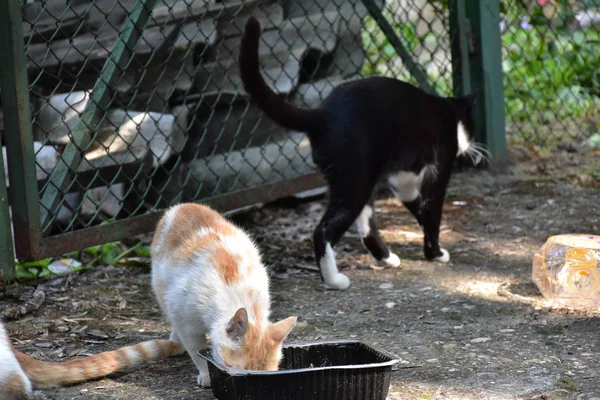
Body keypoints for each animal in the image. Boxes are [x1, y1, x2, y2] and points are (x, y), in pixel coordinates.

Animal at [151, 203, 298, 388]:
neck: (238, 293)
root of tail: (184, 205)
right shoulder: (185, 322)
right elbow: (196, 350)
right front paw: (206, 373)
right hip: (161, 289)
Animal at [238, 17, 482, 290]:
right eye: (472, 126)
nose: (470, 144)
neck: (446, 111)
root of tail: (321, 115)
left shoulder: (403, 179)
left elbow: (417, 205)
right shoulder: (439, 167)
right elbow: (433, 210)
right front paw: (436, 253)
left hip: (361, 178)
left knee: (365, 225)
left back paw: (386, 259)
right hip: (354, 180)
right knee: (324, 230)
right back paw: (334, 280)